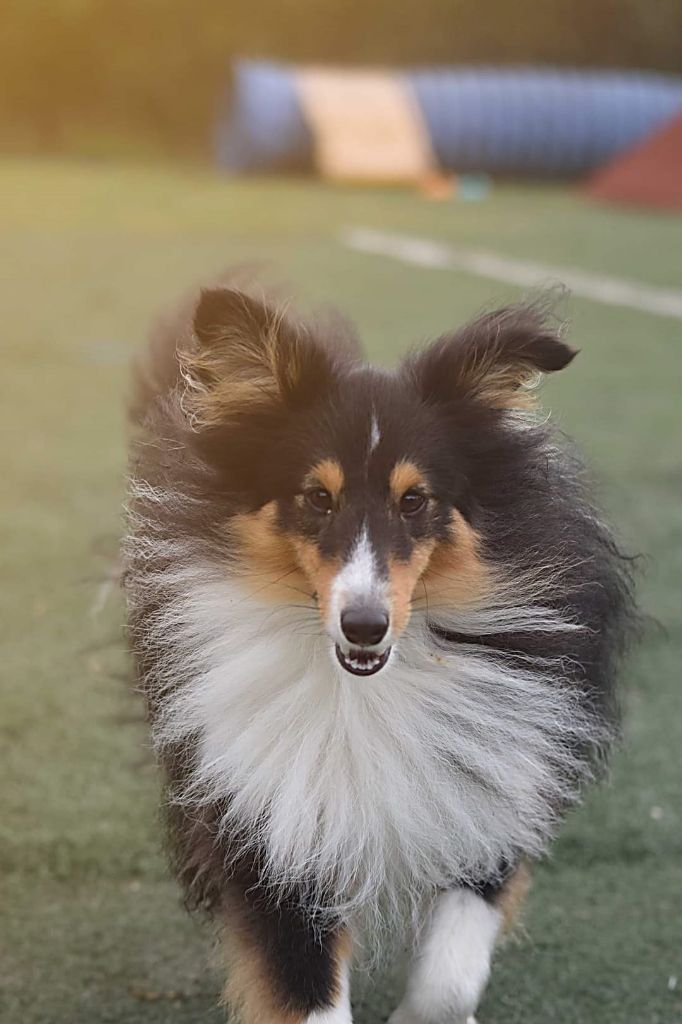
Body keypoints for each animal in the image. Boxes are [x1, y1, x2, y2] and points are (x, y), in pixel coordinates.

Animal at [122, 282, 630, 1024]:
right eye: (317, 497)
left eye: (415, 500)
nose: (364, 626)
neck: (362, 690)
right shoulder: (270, 829)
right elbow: (307, 989)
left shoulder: (488, 796)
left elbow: (448, 984)